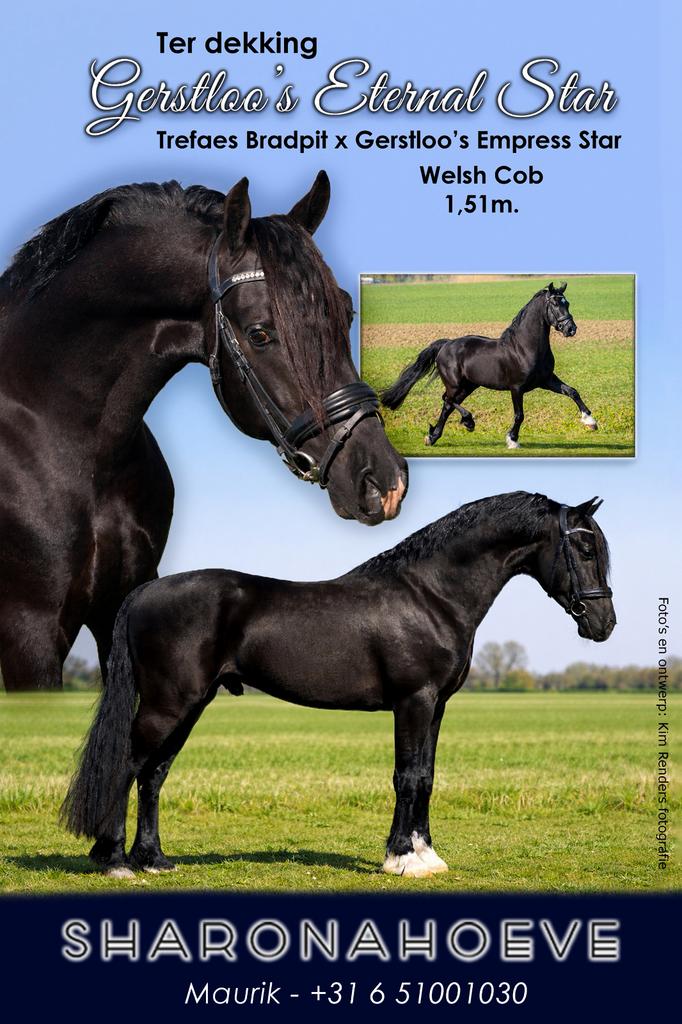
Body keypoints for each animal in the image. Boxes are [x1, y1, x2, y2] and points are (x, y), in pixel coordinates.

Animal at [61, 491, 615, 879]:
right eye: (585, 546)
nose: (604, 624)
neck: (431, 595)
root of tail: (144, 593)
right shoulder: (413, 701)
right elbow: (407, 776)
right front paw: (402, 859)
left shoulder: (436, 706)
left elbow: (427, 776)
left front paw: (426, 855)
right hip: (167, 703)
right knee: (127, 765)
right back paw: (115, 860)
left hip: (190, 704)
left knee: (153, 775)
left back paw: (153, 858)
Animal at [381, 281, 599, 450]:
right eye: (554, 303)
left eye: (567, 303)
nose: (571, 329)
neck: (525, 347)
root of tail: (445, 344)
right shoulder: (516, 388)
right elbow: (519, 415)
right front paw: (512, 440)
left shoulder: (546, 380)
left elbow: (572, 391)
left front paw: (590, 422)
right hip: (455, 384)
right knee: (447, 400)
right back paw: (467, 422)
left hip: (468, 386)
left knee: (447, 405)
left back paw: (433, 436)